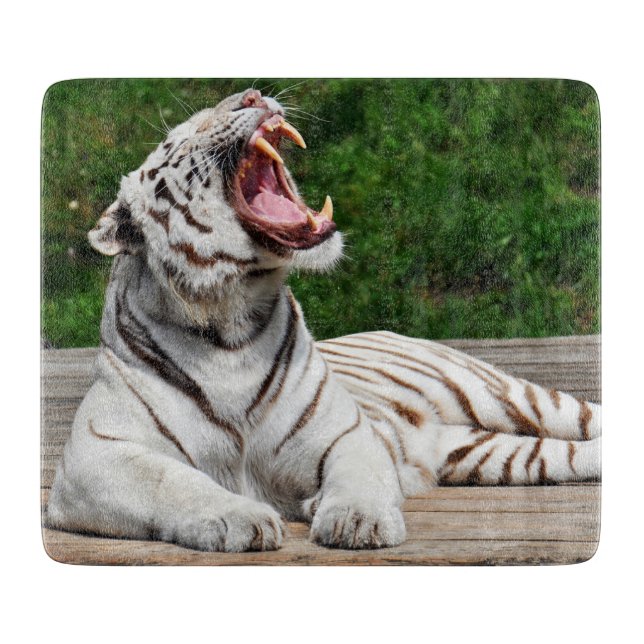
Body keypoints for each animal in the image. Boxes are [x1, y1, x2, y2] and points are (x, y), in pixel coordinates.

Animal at [46, 88, 601, 552]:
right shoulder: (95, 456)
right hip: (484, 453)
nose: (252, 94)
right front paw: (239, 518)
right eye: (175, 138)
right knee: (566, 455)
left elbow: (357, 477)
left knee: (583, 416)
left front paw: (357, 520)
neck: (230, 319)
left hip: (505, 394)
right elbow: (174, 480)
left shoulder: (347, 432)